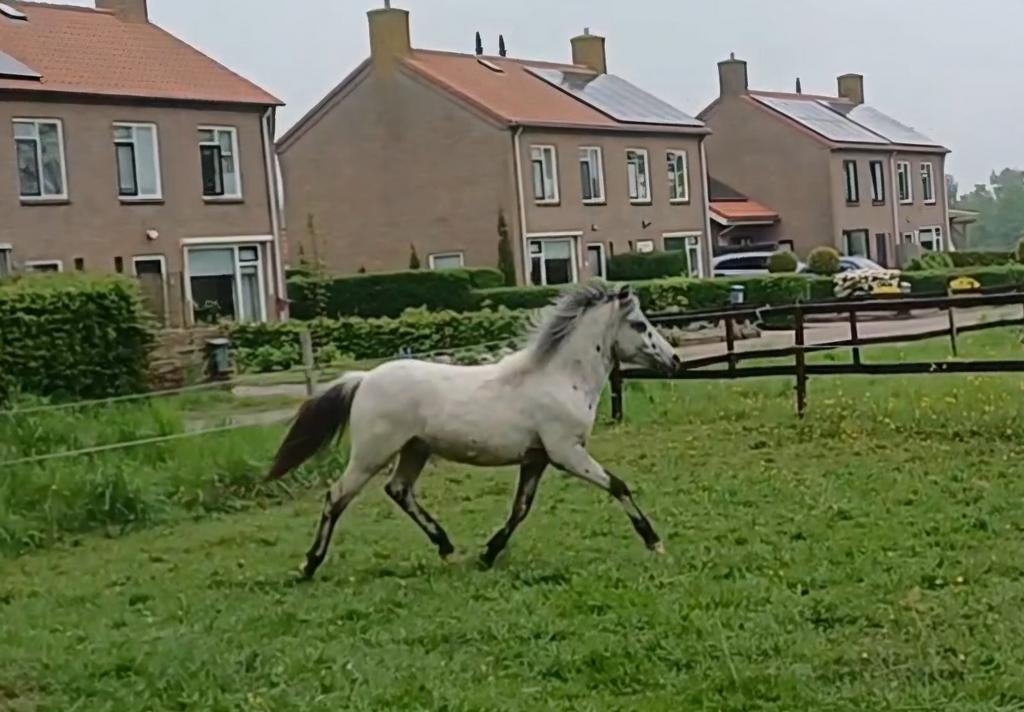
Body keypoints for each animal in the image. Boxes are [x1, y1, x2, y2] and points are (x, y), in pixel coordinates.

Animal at [267, 282, 681, 579]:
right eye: (640, 324)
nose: (675, 360)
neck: (561, 379)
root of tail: (363, 379)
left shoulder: (537, 458)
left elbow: (520, 509)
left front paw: (488, 553)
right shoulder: (567, 453)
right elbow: (618, 486)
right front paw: (655, 543)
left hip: (415, 449)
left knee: (398, 490)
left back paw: (447, 548)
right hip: (372, 453)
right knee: (336, 496)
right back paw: (309, 565)